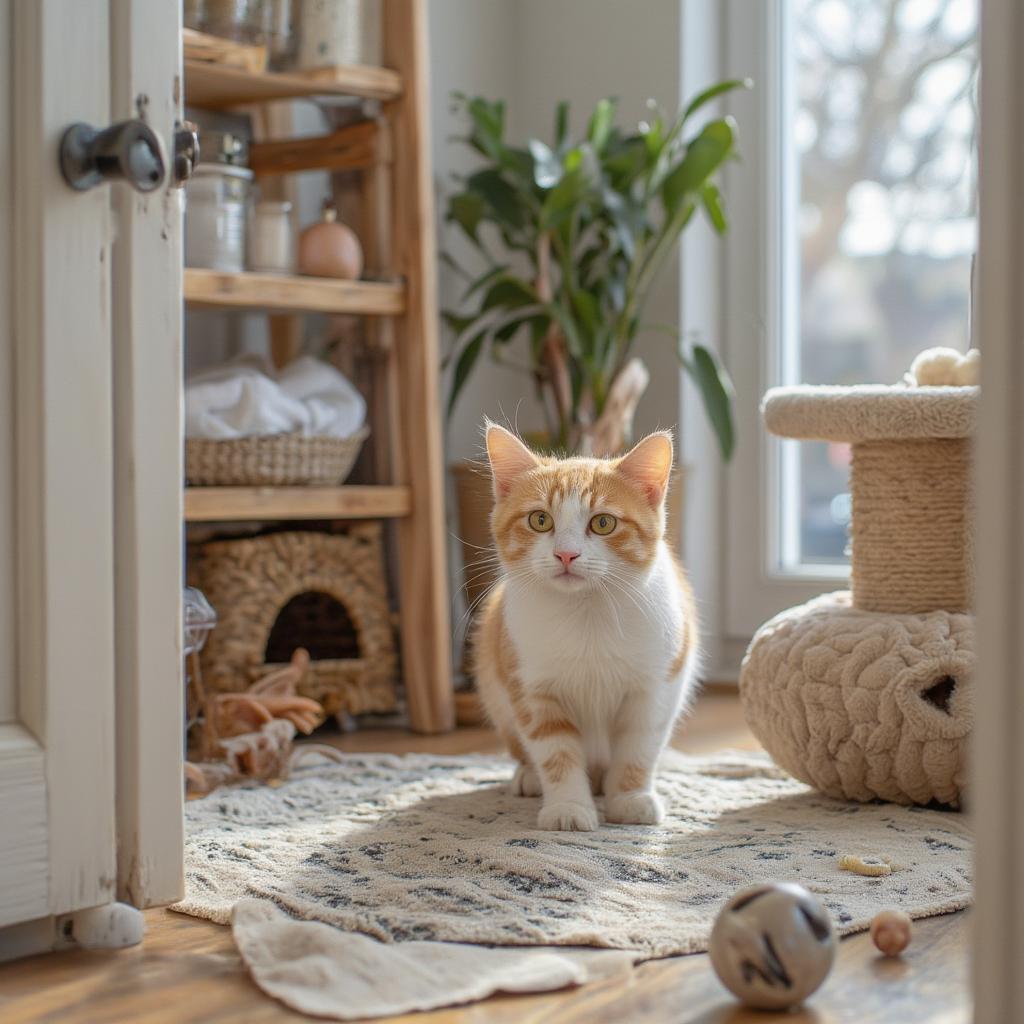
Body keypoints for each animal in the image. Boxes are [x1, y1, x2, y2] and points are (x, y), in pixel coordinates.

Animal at [473, 423, 700, 831]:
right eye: (540, 520)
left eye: (603, 523)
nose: (566, 554)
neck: (587, 614)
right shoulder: (532, 686)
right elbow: (555, 751)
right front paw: (568, 808)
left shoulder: (655, 686)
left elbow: (638, 745)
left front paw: (630, 798)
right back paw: (528, 776)